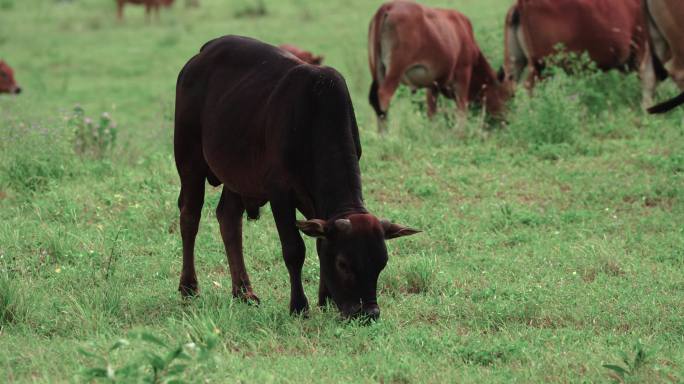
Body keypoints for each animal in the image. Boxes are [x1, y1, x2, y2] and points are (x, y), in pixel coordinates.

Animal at [174, 36, 420, 320]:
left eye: (382, 263)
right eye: (343, 264)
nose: (369, 312)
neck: (315, 115)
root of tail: (201, 54)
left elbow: (319, 242)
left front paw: (325, 299)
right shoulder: (280, 193)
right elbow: (294, 249)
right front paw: (299, 305)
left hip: (237, 175)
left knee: (229, 219)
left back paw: (243, 291)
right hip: (188, 160)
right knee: (190, 216)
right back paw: (189, 287)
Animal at [368, 0, 508, 134]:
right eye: (509, 95)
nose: (506, 121)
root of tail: (389, 6)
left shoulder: (433, 84)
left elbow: (432, 112)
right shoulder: (463, 71)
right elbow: (462, 107)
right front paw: (460, 133)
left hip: (379, 72)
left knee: (376, 102)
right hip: (394, 72)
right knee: (383, 97)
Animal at [502, 0, 656, 106]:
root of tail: (520, 5)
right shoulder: (644, 52)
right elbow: (648, 81)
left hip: (517, 63)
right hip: (542, 66)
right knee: (526, 89)